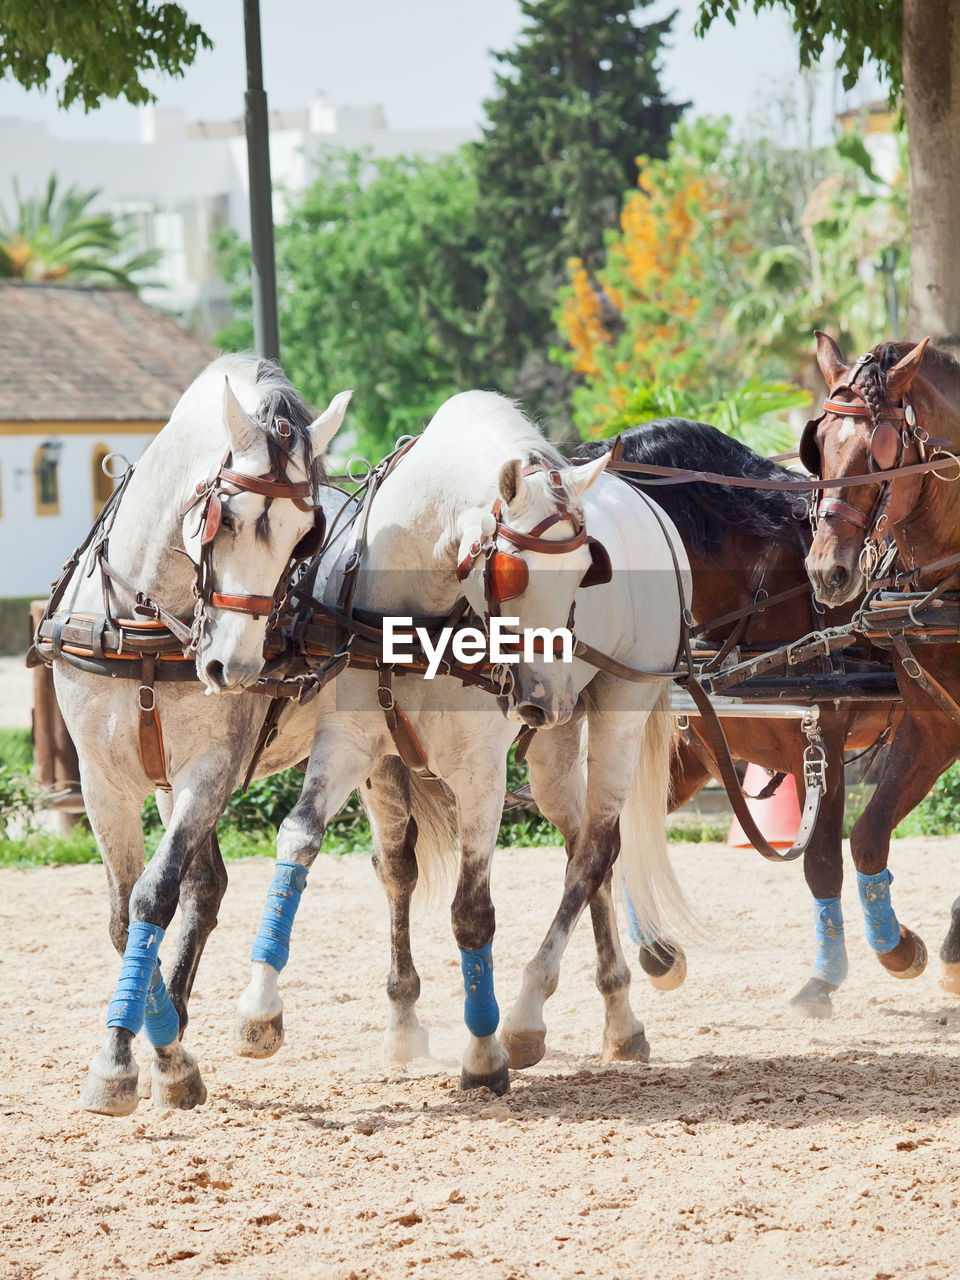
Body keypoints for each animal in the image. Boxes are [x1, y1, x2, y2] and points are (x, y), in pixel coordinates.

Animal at [239, 389, 691, 1090]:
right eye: (511, 573)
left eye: (586, 572)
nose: (544, 697)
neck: (413, 611)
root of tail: (648, 503)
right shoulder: (351, 743)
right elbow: (306, 841)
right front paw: (262, 1008)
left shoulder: (481, 770)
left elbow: (472, 910)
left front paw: (483, 1053)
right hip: (554, 749)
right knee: (586, 846)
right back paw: (617, 1016)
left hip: (619, 706)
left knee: (593, 850)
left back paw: (533, 1014)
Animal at [576, 414, 901, 1013]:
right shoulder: (691, 748)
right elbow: (620, 836)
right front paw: (657, 952)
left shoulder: (822, 743)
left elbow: (822, 862)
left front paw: (824, 979)